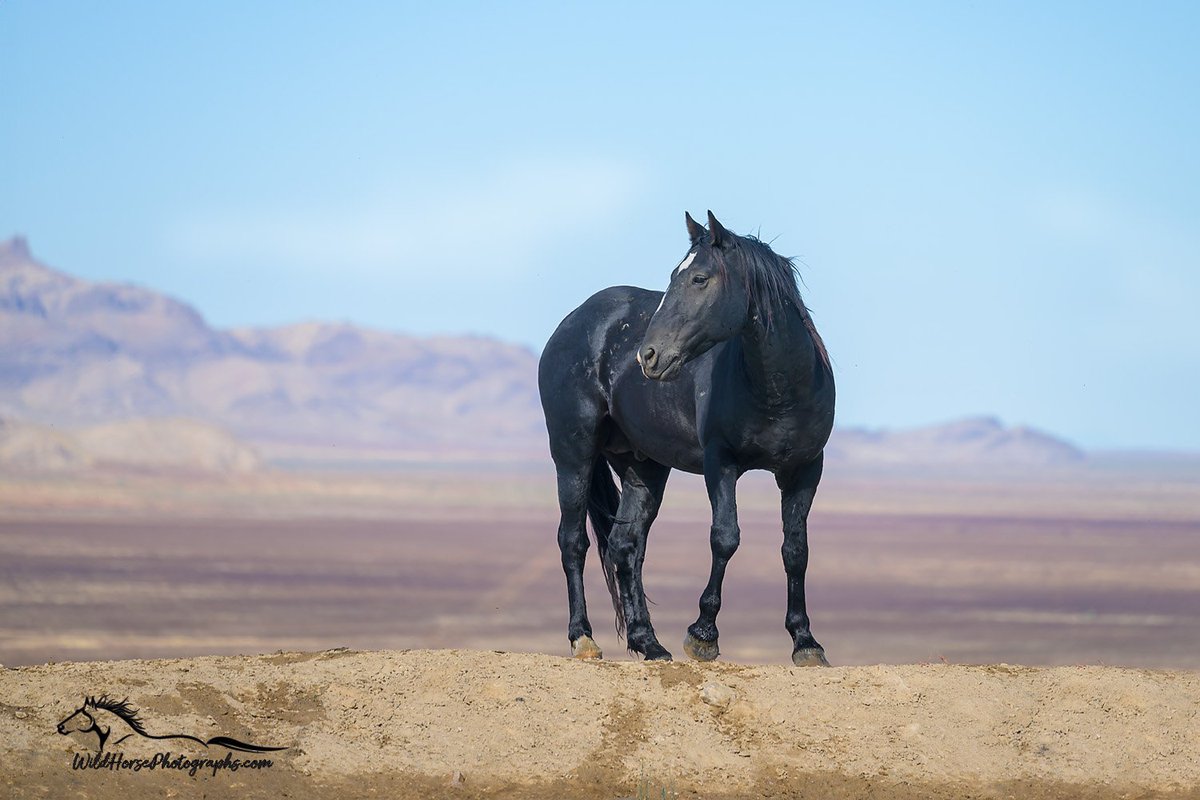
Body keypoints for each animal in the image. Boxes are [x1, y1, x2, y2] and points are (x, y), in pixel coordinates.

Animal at [537, 209, 835, 666]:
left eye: (699, 278)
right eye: (674, 277)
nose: (648, 355)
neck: (778, 389)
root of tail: (573, 321)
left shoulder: (804, 470)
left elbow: (795, 550)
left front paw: (805, 641)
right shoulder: (721, 464)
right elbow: (725, 538)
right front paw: (703, 634)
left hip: (642, 467)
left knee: (625, 546)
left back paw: (648, 643)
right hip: (573, 454)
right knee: (573, 541)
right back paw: (583, 638)